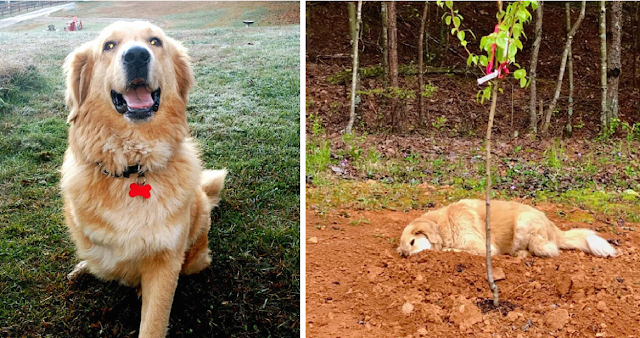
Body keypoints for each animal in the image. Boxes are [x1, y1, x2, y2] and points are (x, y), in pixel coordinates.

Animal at [60, 21, 229, 338]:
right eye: (109, 45)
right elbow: (99, 246)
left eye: (155, 41)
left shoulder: (166, 261)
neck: (133, 166)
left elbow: (153, 321)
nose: (137, 55)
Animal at [398, 199, 616, 258]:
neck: (444, 224)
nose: (410, 257)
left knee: (549, 250)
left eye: (413, 242)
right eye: (404, 253)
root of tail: (554, 228)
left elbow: (454, 250)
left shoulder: (483, 247)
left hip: (523, 223)